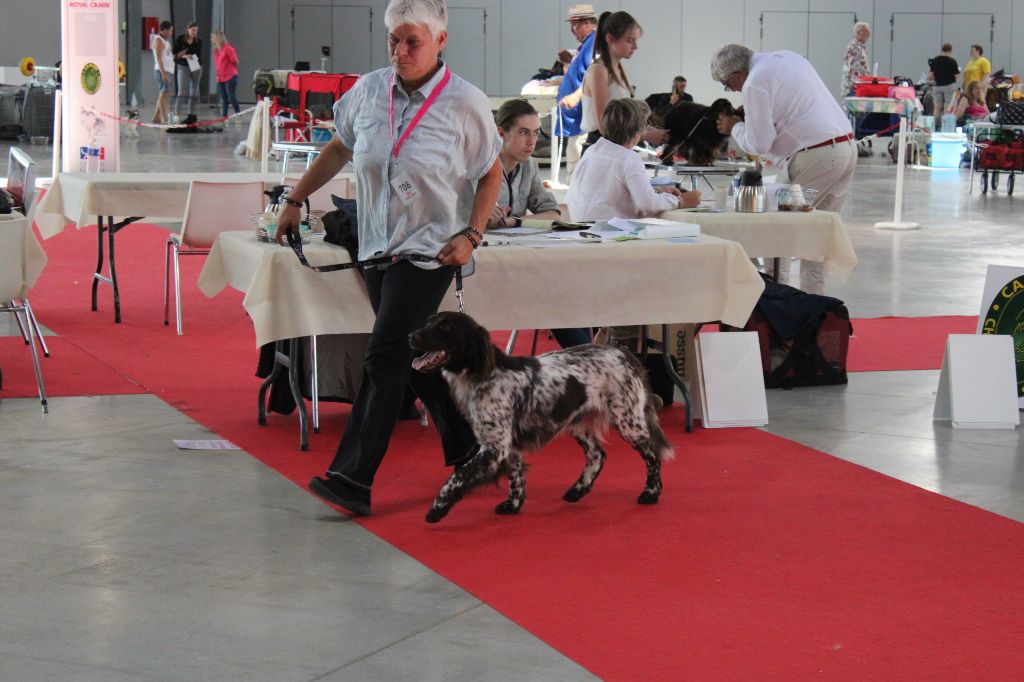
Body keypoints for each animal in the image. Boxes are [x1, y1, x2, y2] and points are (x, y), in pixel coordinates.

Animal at [409, 311, 674, 523]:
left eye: (446, 326)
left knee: (652, 456)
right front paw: (513, 505)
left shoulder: (494, 447)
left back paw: (651, 493)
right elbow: (515, 477)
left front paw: (437, 508)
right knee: (597, 455)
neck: (483, 375)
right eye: (429, 321)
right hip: (579, 424)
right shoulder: (506, 446)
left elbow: (457, 477)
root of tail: (624, 352)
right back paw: (577, 490)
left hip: (629, 421)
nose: (411, 336)